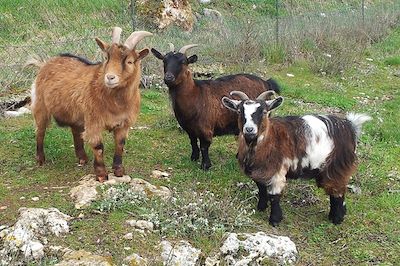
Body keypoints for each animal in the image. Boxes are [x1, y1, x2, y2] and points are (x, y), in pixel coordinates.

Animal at [30, 27, 152, 181]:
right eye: (106, 58)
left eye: (129, 62)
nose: (110, 77)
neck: (115, 103)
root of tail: (45, 63)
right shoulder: (94, 122)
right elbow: (98, 147)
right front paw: (101, 175)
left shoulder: (124, 123)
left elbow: (120, 145)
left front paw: (119, 171)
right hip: (41, 106)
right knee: (40, 131)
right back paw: (40, 159)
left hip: (75, 113)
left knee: (75, 130)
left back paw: (82, 158)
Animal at [152, 42, 280, 169]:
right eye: (164, 60)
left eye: (183, 62)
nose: (168, 77)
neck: (195, 94)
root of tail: (266, 82)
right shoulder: (189, 128)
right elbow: (193, 142)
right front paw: (194, 158)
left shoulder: (206, 129)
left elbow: (204, 147)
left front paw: (205, 165)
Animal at [222, 90, 372, 225]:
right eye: (239, 111)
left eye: (264, 112)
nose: (249, 129)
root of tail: (350, 126)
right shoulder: (259, 170)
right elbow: (261, 188)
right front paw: (261, 208)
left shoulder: (277, 171)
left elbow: (274, 196)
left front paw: (274, 220)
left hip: (338, 166)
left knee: (338, 192)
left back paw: (337, 219)